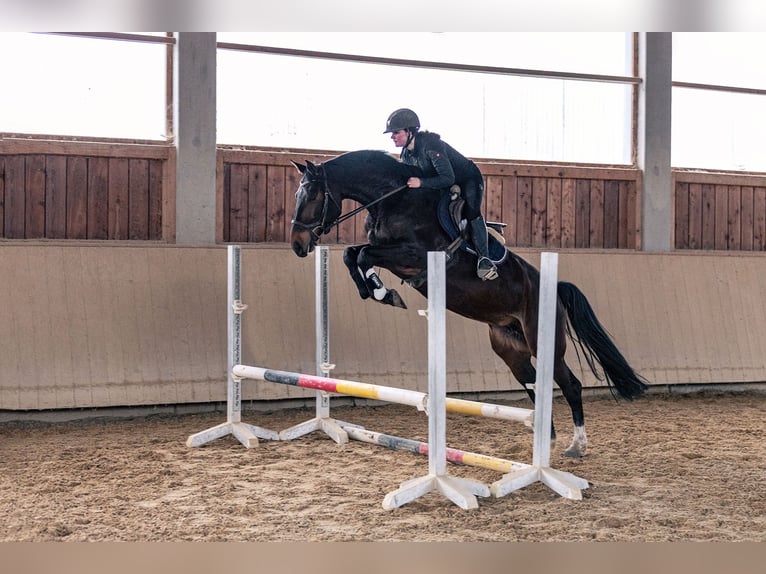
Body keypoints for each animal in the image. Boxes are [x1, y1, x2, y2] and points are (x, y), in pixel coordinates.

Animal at [290, 148, 648, 460]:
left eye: (312, 196)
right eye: (297, 196)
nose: (297, 245)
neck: (394, 201)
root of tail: (555, 288)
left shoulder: (414, 256)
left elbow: (363, 254)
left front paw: (383, 293)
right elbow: (353, 254)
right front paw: (375, 291)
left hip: (543, 341)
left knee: (570, 385)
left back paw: (577, 446)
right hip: (510, 348)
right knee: (534, 383)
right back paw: (545, 440)